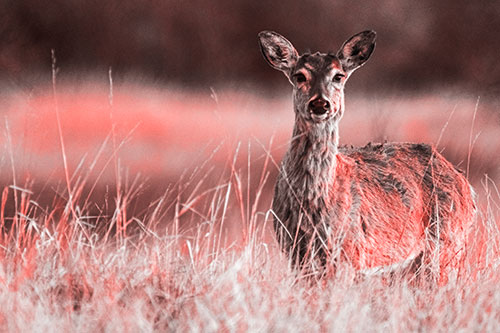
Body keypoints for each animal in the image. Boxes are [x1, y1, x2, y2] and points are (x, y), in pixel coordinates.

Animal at [258, 29, 476, 282]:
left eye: (338, 76)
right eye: (299, 76)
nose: (320, 104)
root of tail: (465, 184)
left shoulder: (350, 252)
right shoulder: (294, 251)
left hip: (448, 244)